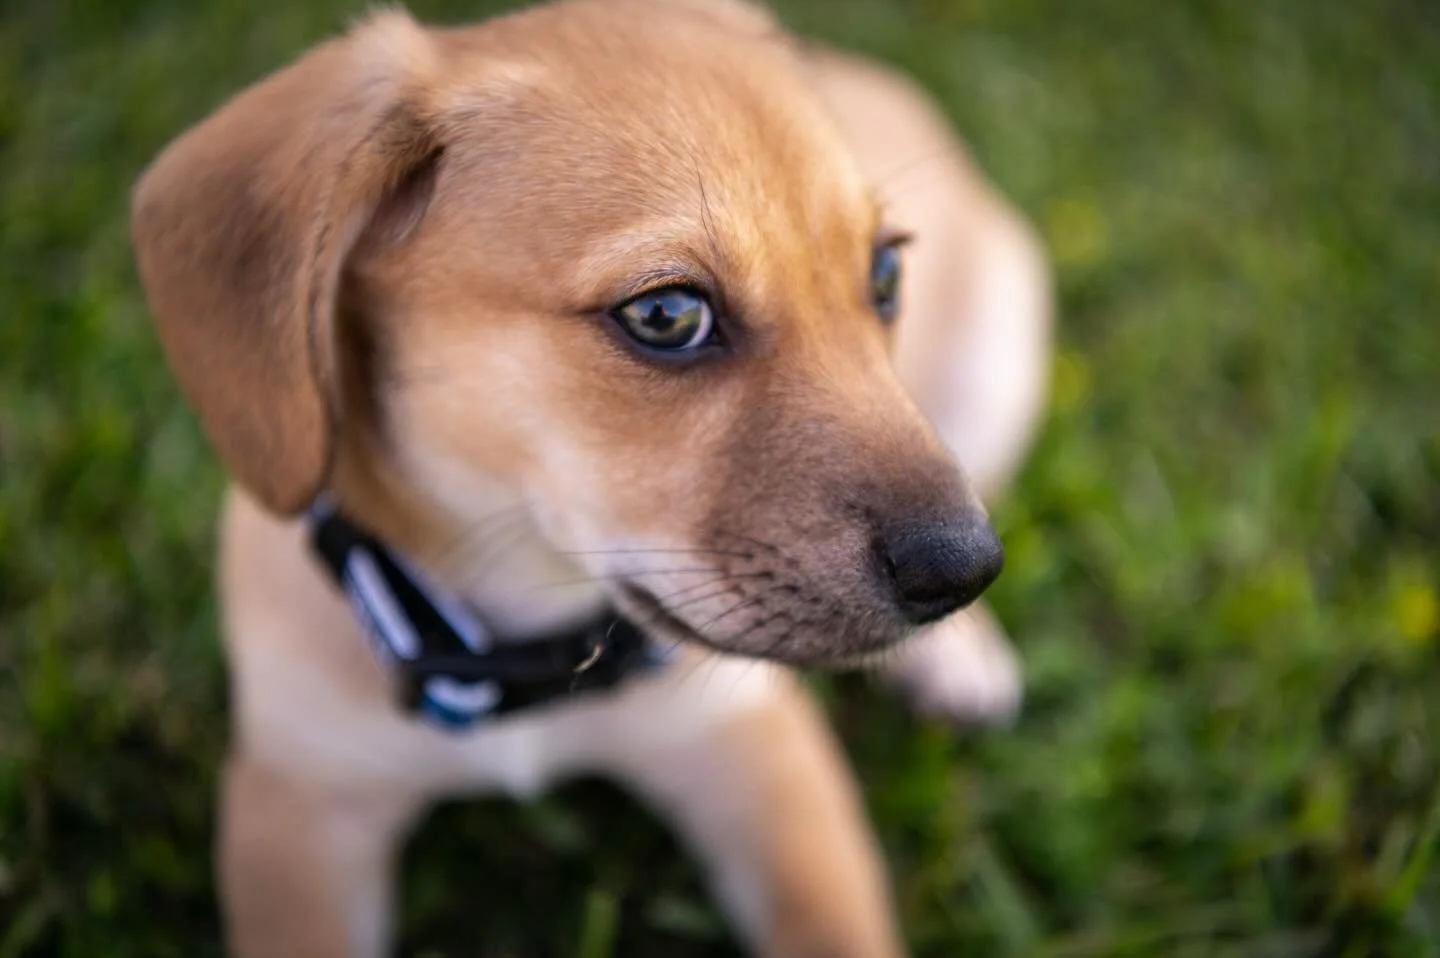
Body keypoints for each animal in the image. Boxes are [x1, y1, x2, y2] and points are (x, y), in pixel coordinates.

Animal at [130, 0, 1050, 954]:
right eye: (667, 315)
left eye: (885, 273)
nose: (966, 572)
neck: (521, 650)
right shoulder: (297, 807)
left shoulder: (760, 757)